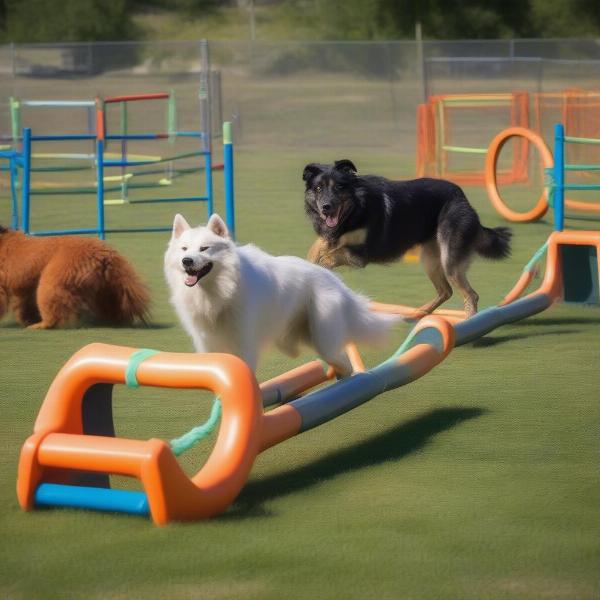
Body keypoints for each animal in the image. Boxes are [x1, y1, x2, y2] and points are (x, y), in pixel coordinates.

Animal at [0, 225, 150, 328]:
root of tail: (104, 253)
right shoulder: (24, 288)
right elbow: (24, 305)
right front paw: (27, 318)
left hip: (55, 277)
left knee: (52, 307)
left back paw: (41, 325)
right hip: (106, 287)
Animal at [164, 214, 398, 376]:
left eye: (204, 248)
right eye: (184, 249)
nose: (187, 261)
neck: (220, 290)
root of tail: (334, 280)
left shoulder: (244, 343)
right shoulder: (209, 345)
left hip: (323, 338)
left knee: (342, 362)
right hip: (295, 339)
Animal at [304, 159, 510, 318]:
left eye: (339, 187)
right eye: (318, 188)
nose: (326, 207)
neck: (356, 208)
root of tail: (463, 198)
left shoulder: (361, 255)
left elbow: (332, 255)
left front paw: (321, 264)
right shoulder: (332, 236)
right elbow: (318, 247)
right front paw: (311, 262)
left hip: (449, 259)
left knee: (470, 295)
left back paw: (468, 322)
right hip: (429, 260)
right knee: (446, 291)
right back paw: (419, 313)